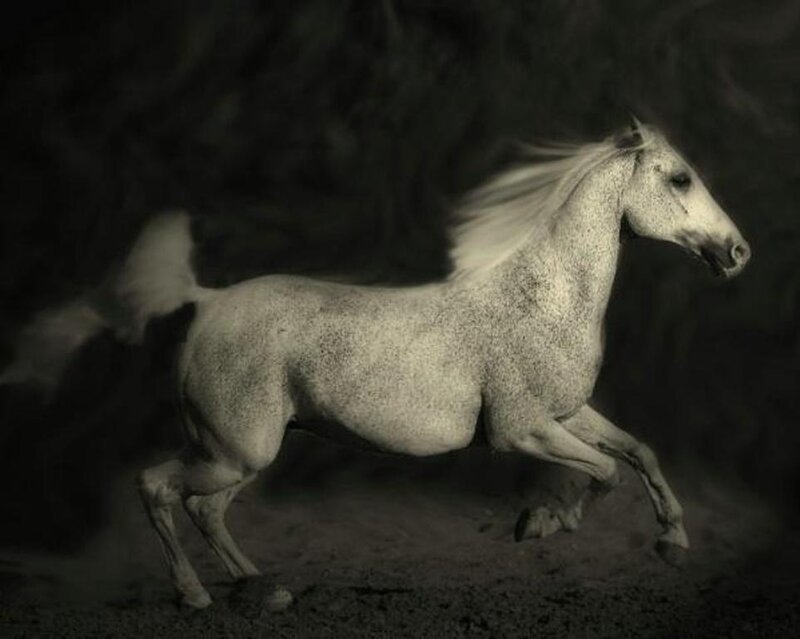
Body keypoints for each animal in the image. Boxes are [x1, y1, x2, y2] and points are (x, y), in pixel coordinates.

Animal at [1, 121, 751, 610]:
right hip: (235, 449)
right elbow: (602, 474)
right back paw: (195, 597)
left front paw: (673, 539)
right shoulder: (522, 428)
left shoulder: (565, 413)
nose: (737, 251)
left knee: (204, 509)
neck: (543, 296)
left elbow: (639, 453)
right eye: (680, 176)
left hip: (242, 452)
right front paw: (540, 523)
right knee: (159, 488)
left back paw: (262, 587)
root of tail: (206, 302)